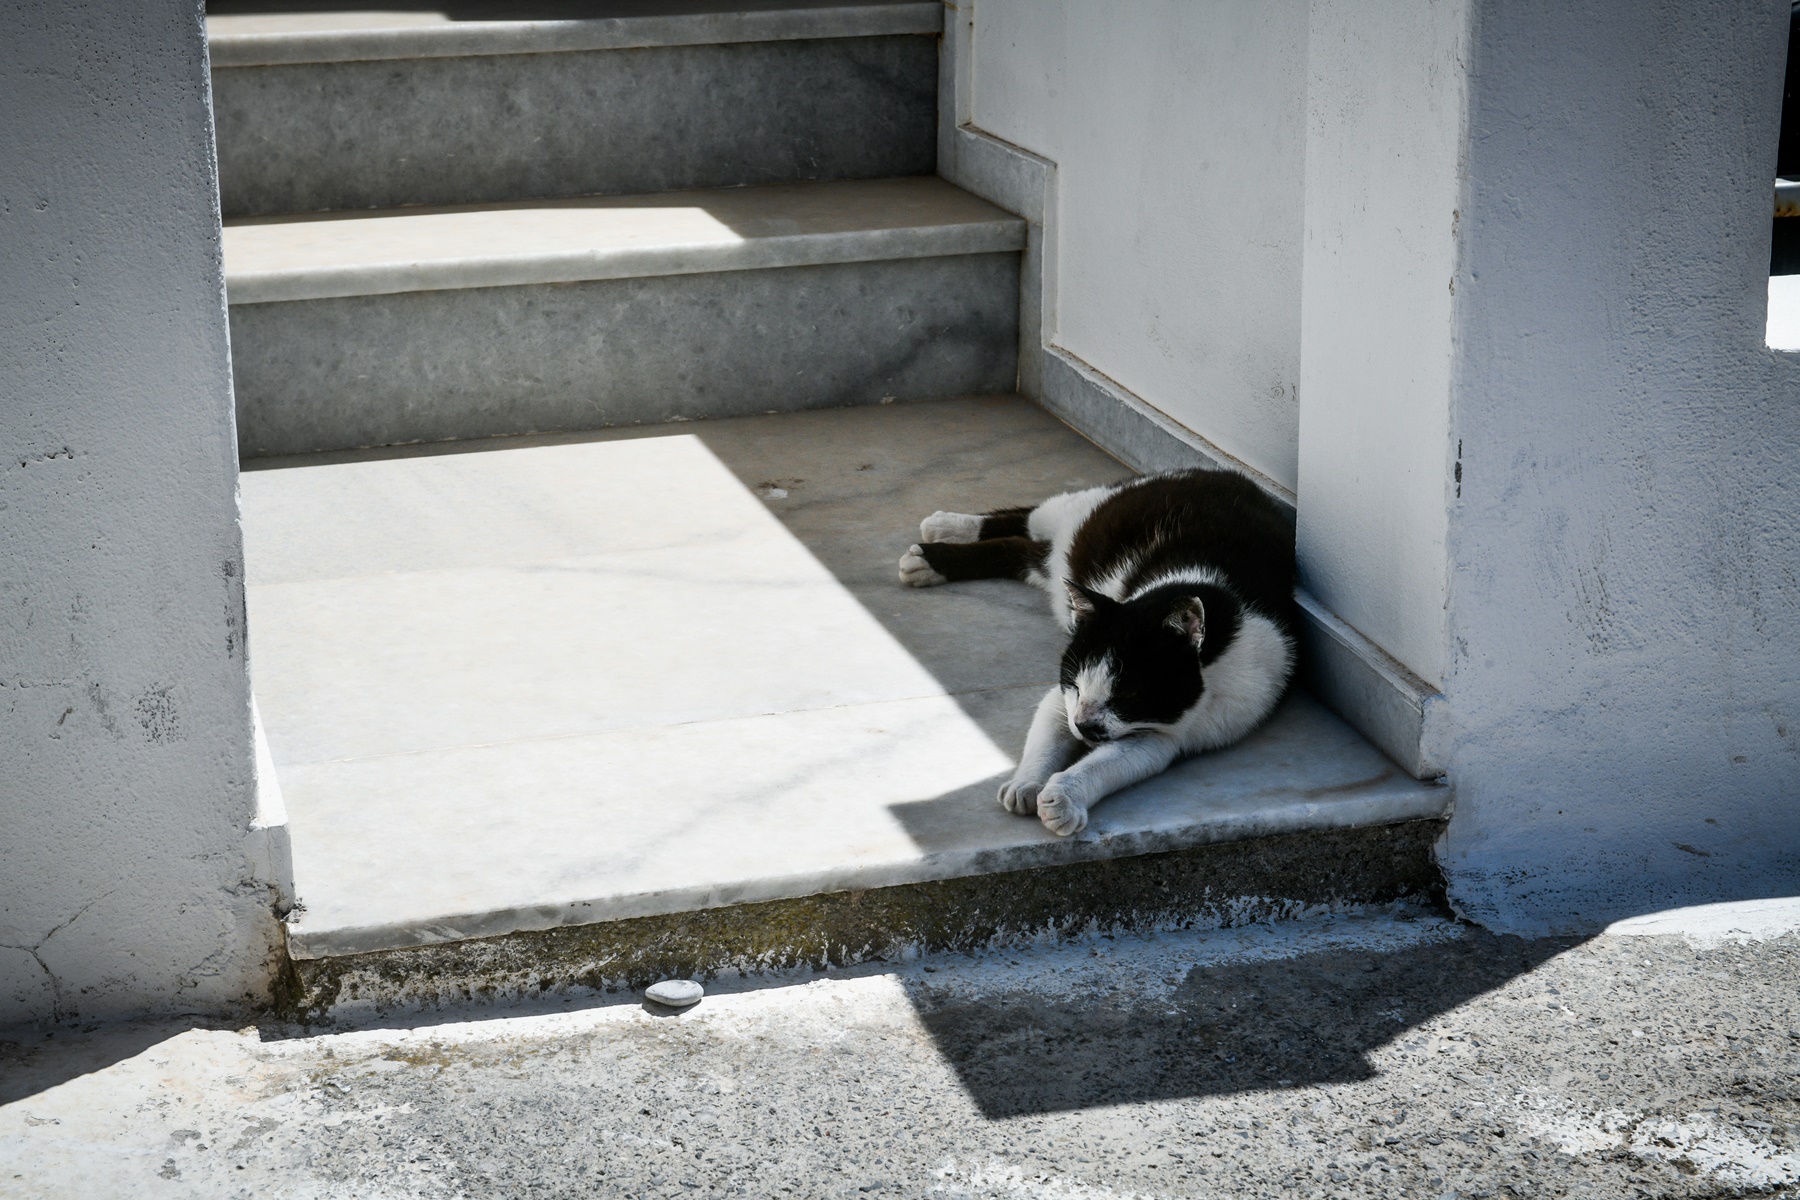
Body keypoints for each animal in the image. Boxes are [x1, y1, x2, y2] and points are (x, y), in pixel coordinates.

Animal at [896, 467, 1296, 834]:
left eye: (1128, 693)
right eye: (1075, 683)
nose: (1084, 724)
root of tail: (1222, 473)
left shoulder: (1160, 734)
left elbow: (1112, 762)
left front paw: (1064, 796)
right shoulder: (1063, 700)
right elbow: (1048, 731)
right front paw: (1026, 783)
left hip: (1056, 562)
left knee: (1021, 550)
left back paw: (936, 551)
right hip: (1086, 510)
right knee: (1032, 516)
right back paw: (941, 534)